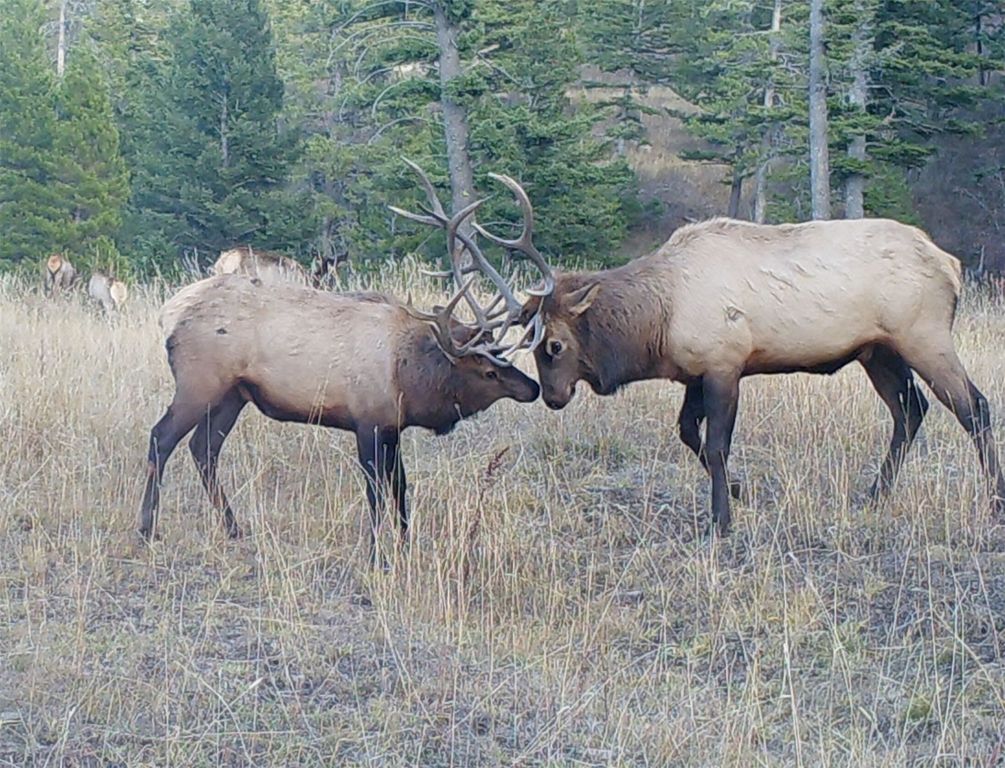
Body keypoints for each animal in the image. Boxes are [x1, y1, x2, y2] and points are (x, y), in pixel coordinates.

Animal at [139, 161, 549, 565]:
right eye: (489, 371)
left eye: (502, 358)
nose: (533, 387)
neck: (408, 374)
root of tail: (167, 313)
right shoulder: (367, 421)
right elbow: (375, 491)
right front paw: (376, 556)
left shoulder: (392, 426)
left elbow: (400, 487)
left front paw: (405, 545)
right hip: (199, 382)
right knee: (162, 437)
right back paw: (146, 529)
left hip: (234, 394)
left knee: (204, 449)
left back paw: (234, 528)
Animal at [474, 177, 1005, 535]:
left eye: (554, 345)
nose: (552, 397)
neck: (659, 320)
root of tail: (952, 265)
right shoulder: (694, 373)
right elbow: (688, 432)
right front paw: (736, 490)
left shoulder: (726, 364)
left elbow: (715, 444)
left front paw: (721, 521)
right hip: (877, 351)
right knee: (911, 410)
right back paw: (874, 494)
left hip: (924, 335)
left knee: (973, 407)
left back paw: (994, 499)